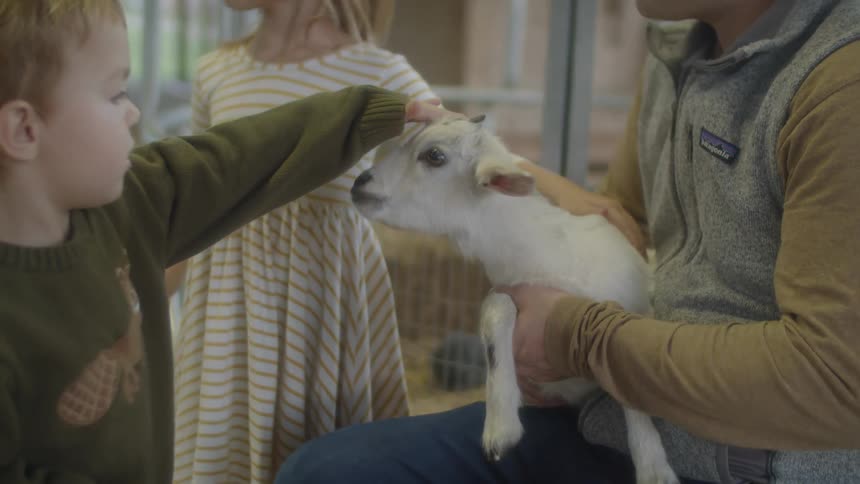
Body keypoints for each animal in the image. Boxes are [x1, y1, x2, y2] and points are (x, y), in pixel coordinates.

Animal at [351, 114, 679, 484]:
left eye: (434, 156)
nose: (359, 184)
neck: (546, 255)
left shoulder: (633, 312)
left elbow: (626, 378)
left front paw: (653, 467)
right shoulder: (510, 291)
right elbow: (495, 309)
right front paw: (501, 427)